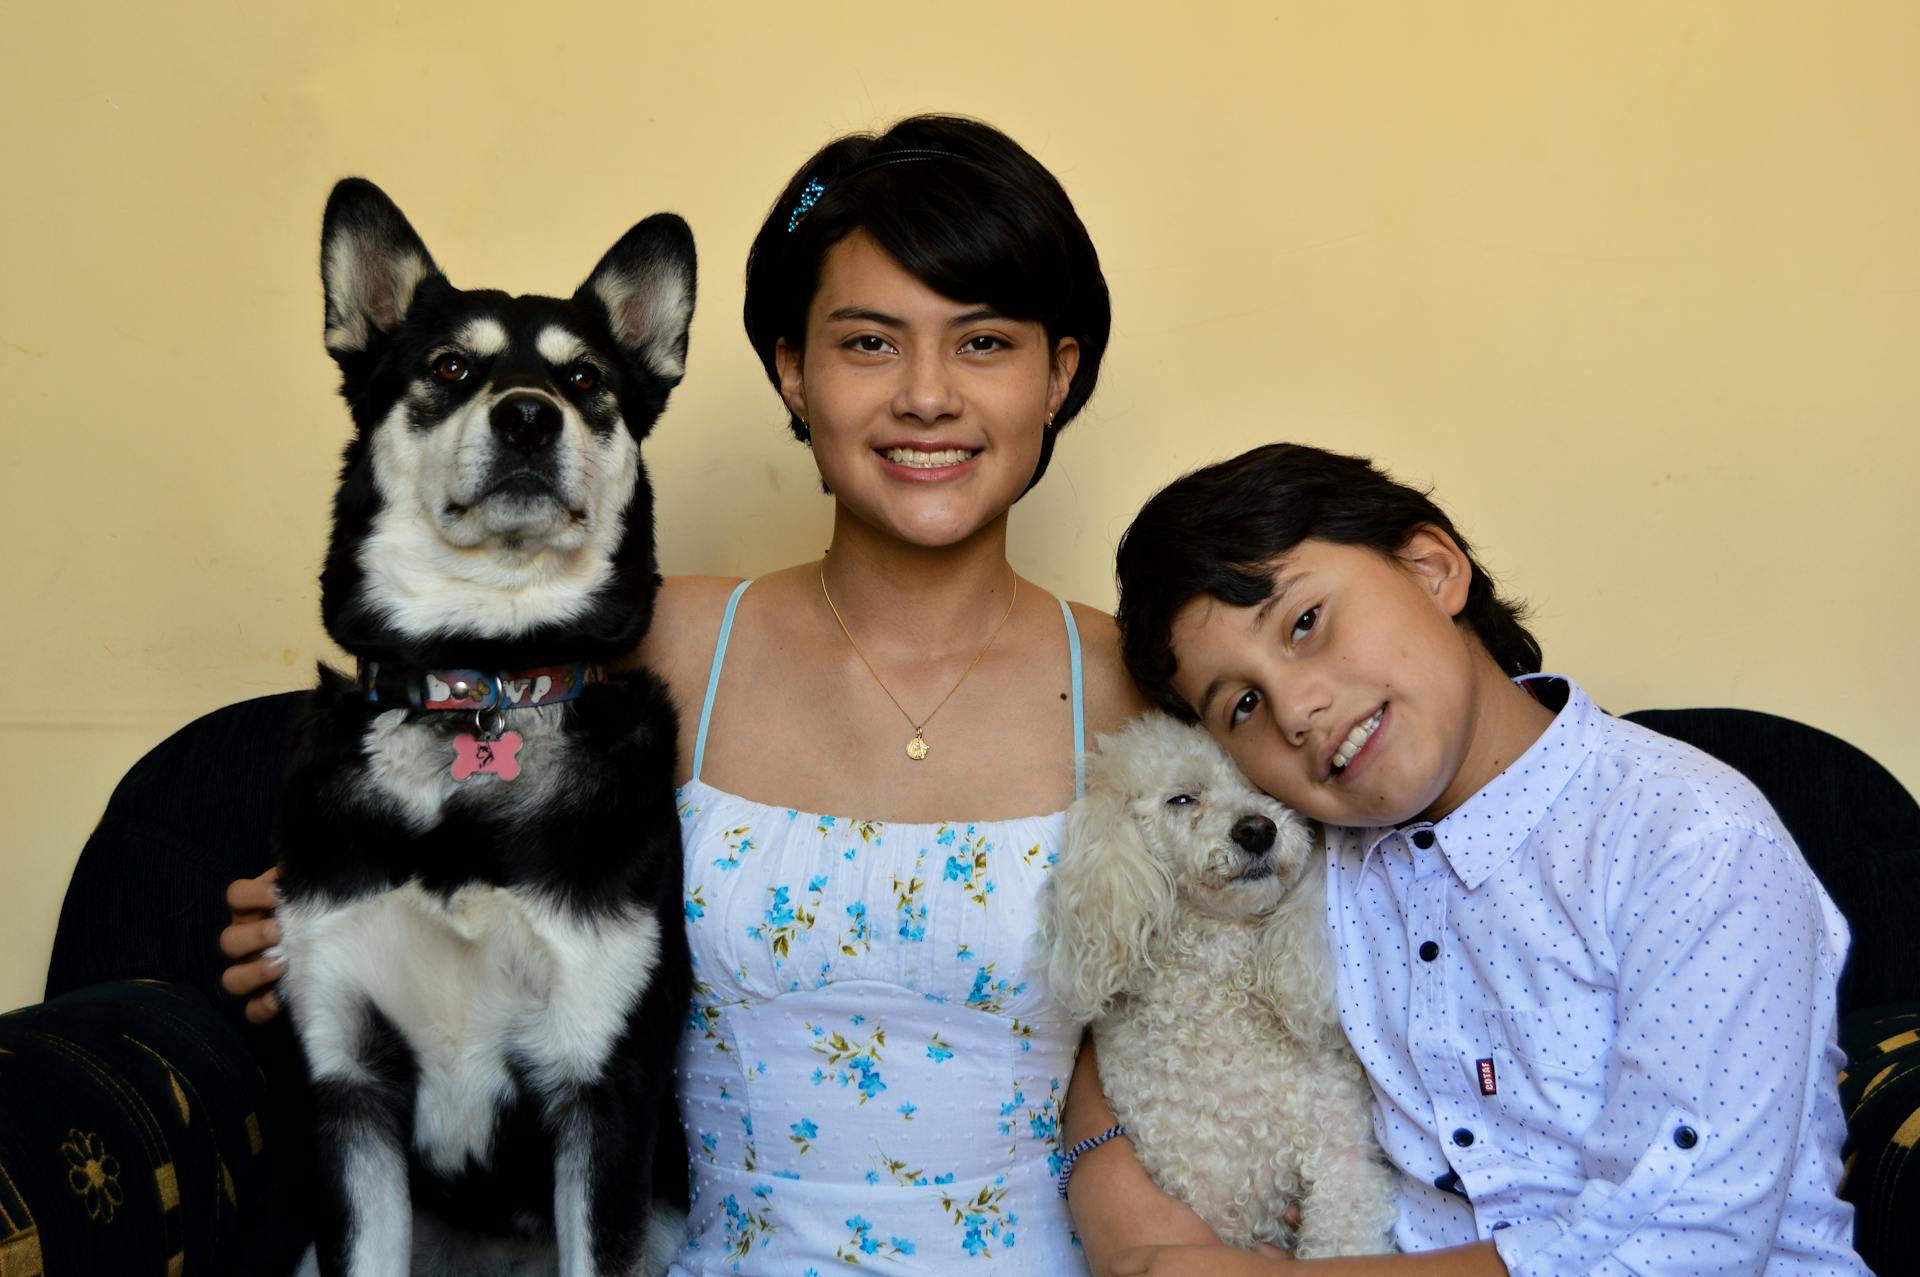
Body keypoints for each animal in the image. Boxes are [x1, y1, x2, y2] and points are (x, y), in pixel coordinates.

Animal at [270, 181, 691, 1275]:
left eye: (586, 378)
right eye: (452, 366)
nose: (530, 416)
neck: (480, 674)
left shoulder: (600, 1081)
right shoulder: (347, 1082)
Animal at [1052, 710, 1397, 1259]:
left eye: (1263, 790)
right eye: (1182, 799)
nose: (1257, 830)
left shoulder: (1344, 1158)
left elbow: (1344, 1237)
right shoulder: (1200, 1194)